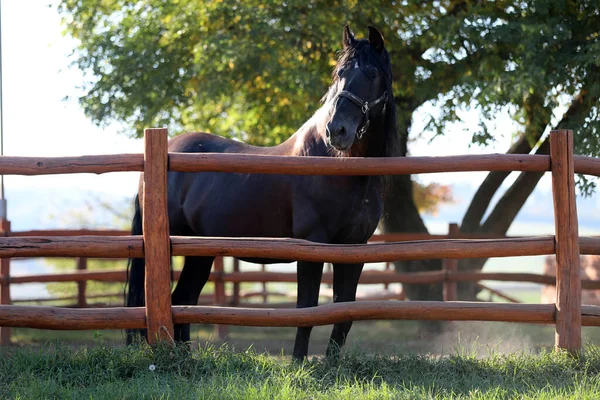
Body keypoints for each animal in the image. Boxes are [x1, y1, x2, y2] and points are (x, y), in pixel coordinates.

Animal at [126, 25, 398, 360]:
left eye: (372, 73)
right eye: (340, 73)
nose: (337, 131)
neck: (344, 170)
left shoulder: (354, 248)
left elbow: (343, 315)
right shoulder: (312, 245)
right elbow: (306, 311)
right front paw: (299, 364)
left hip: (200, 251)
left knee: (184, 300)